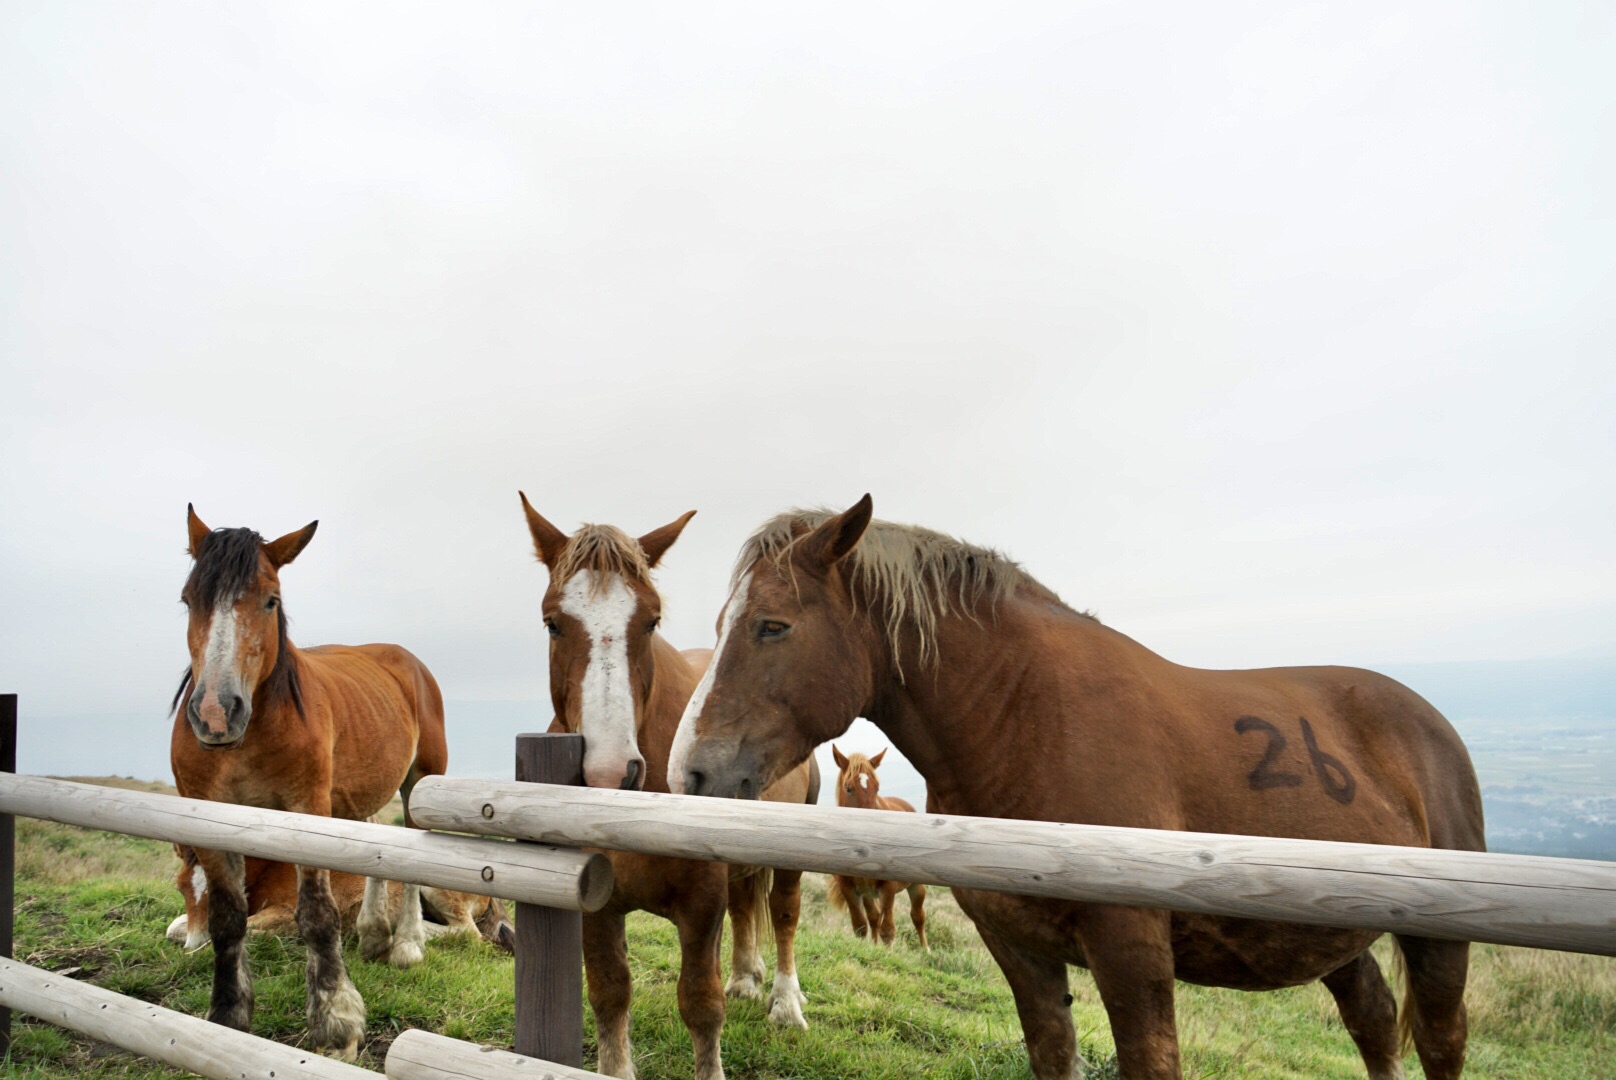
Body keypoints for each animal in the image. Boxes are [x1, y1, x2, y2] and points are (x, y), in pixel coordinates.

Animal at [164, 840, 510, 950]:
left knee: (469, 934)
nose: (192, 945)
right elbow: (174, 926)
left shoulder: (288, 914)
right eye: (181, 888)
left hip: (436, 889)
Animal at [517, 497, 820, 1080]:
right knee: (747, 905)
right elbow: (610, 994)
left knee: (785, 913)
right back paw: (745, 978)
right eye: (551, 623)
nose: (611, 772)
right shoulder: (595, 904)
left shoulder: (701, 906)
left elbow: (700, 1005)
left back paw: (786, 1002)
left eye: (652, 620)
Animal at [827, 746, 930, 950]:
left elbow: (888, 930)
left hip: (915, 886)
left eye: (876, 788)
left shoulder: (888, 888)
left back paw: (926, 951)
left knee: (918, 916)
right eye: (849, 788)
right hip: (868, 893)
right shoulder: (849, 888)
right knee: (874, 917)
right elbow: (861, 926)